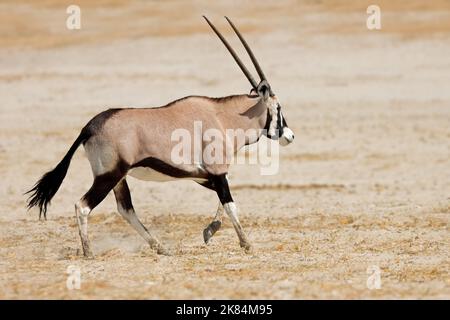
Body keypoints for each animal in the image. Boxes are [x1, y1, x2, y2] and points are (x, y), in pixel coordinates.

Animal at [27, 16, 296, 258]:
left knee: (126, 209)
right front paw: (246, 244)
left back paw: (160, 247)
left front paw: (210, 231)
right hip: (109, 175)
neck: (223, 116)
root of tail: (89, 126)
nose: (290, 136)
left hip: (118, 178)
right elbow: (230, 204)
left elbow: (224, 200)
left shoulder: (203, 174)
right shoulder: (216, 171)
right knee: (83, 206)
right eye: (278, 107)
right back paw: (89, 253)